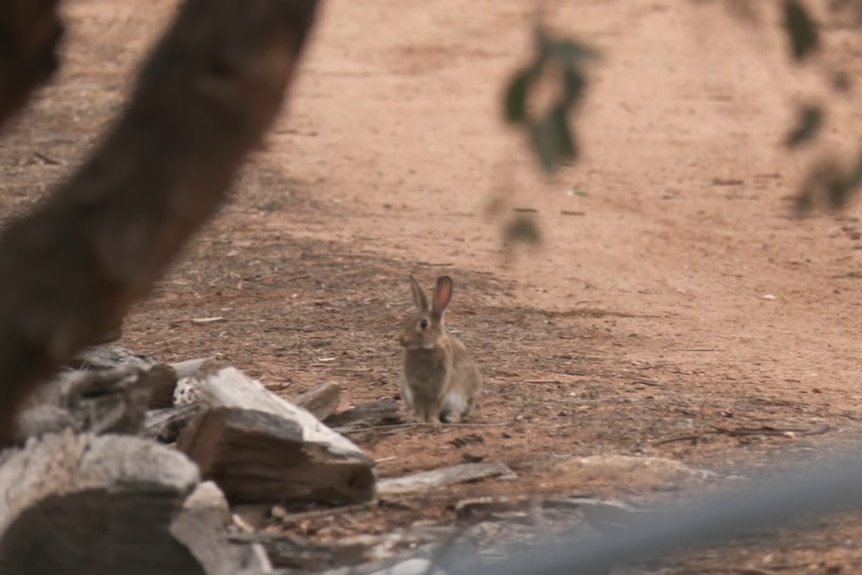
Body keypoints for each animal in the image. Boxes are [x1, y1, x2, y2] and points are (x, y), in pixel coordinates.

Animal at [398, 274, 481, 424]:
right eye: (409, 319)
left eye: (424, 323)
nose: (401, 339)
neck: (425, 349)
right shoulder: (415, 390)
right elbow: (419, 405)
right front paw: (419, 420)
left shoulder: (440, 387)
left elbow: (434, 405)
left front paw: (432, 421)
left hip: (466, 396)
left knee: (461, 411)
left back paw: (451, 417)